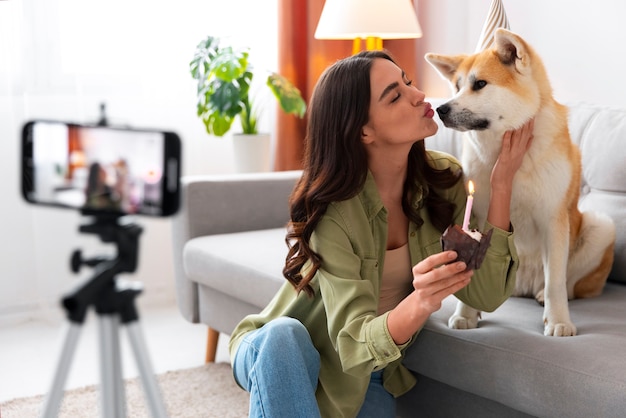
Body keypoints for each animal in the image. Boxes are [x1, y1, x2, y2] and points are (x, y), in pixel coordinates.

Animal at [424, 28, 616, 336]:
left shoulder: (553, 219)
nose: (440, 109)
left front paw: (559, 320)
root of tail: (523, 285)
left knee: (566, 283)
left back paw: (543, 297)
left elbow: (556, 283)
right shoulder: (476, 214)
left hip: (601, 226)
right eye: (457, 86)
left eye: (480, 84)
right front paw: (466, 313)